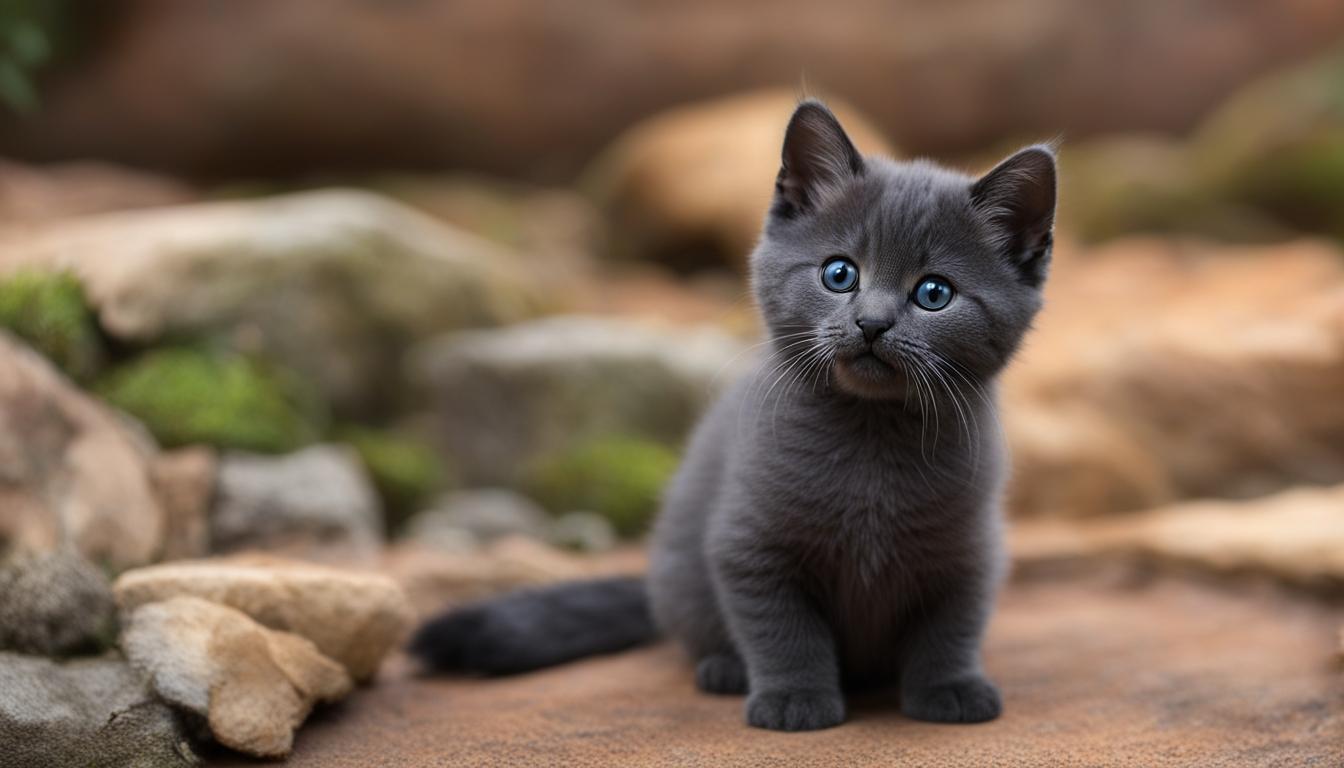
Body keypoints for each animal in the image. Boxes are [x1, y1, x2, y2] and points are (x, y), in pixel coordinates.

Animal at [413, 100, 1053, 731]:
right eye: (839, 273)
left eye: (934, 293)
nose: (871, 323)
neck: (871, 436)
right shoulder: (750, 547)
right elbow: (782, 630)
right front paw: (795, 699)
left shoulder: (970, 551)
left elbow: (951, 626)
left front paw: (951, 688)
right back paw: (724, 668)